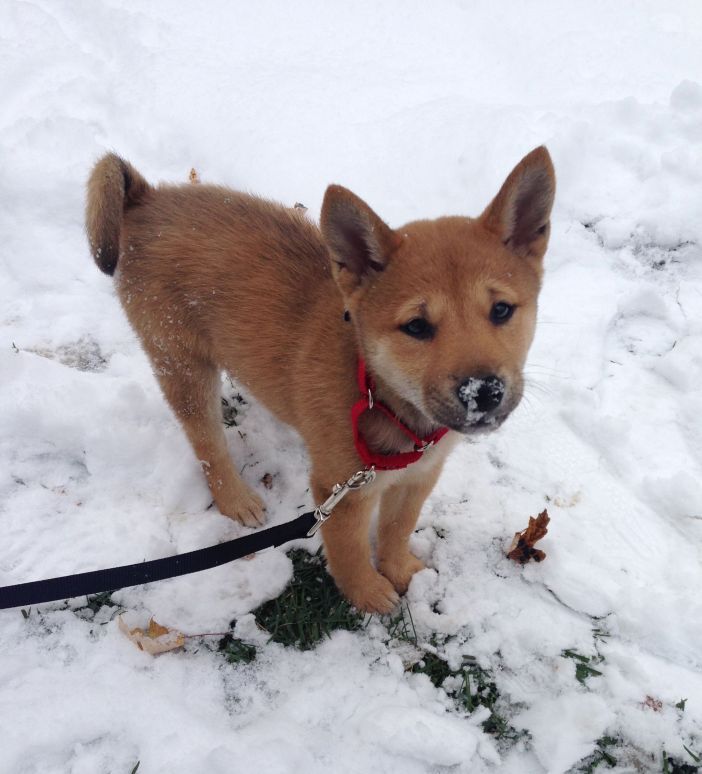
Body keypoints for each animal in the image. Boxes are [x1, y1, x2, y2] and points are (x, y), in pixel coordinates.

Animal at [85, 149, 556, 616]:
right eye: (417, 327)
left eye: (501, 310)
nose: (484, 392)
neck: (377, 391)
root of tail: (145, 198)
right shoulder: (342, 491)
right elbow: (348, 550)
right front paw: (367, 593)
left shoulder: (418, 478)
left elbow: (397, 528)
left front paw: (399, 570)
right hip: (183, 365)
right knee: (208, 445)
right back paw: (236, 499)